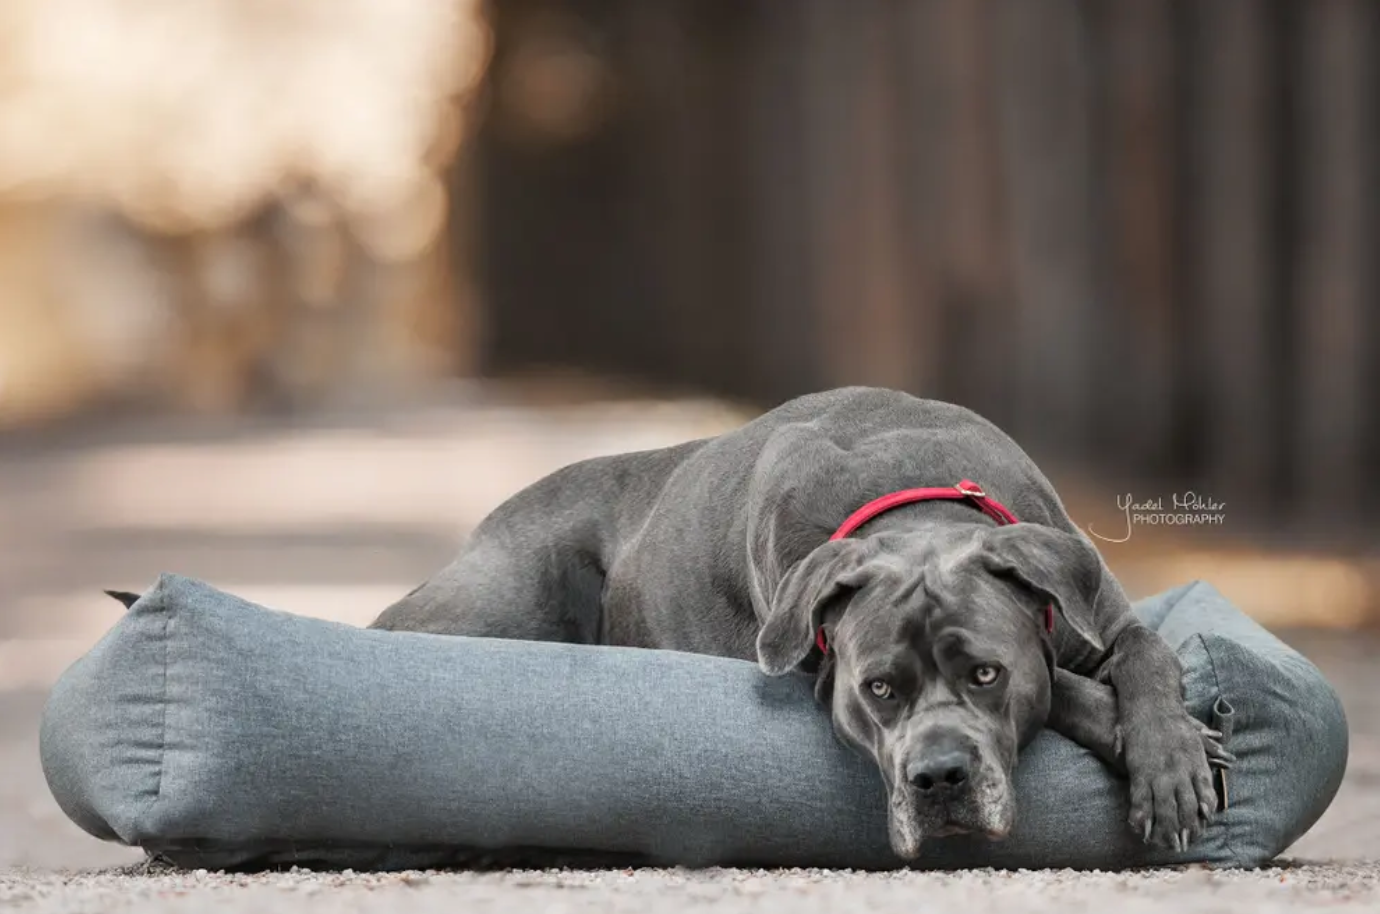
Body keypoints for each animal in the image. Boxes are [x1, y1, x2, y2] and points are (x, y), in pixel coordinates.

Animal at [372, 386, 1236, 861]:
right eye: (877, 689)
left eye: (987, 673)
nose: (938, 780)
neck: (911, 496)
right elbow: (1062, 688)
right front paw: (1155, 741)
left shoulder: (1098, 611)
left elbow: (1147, 653)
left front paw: (1172, 762)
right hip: (508, 596)